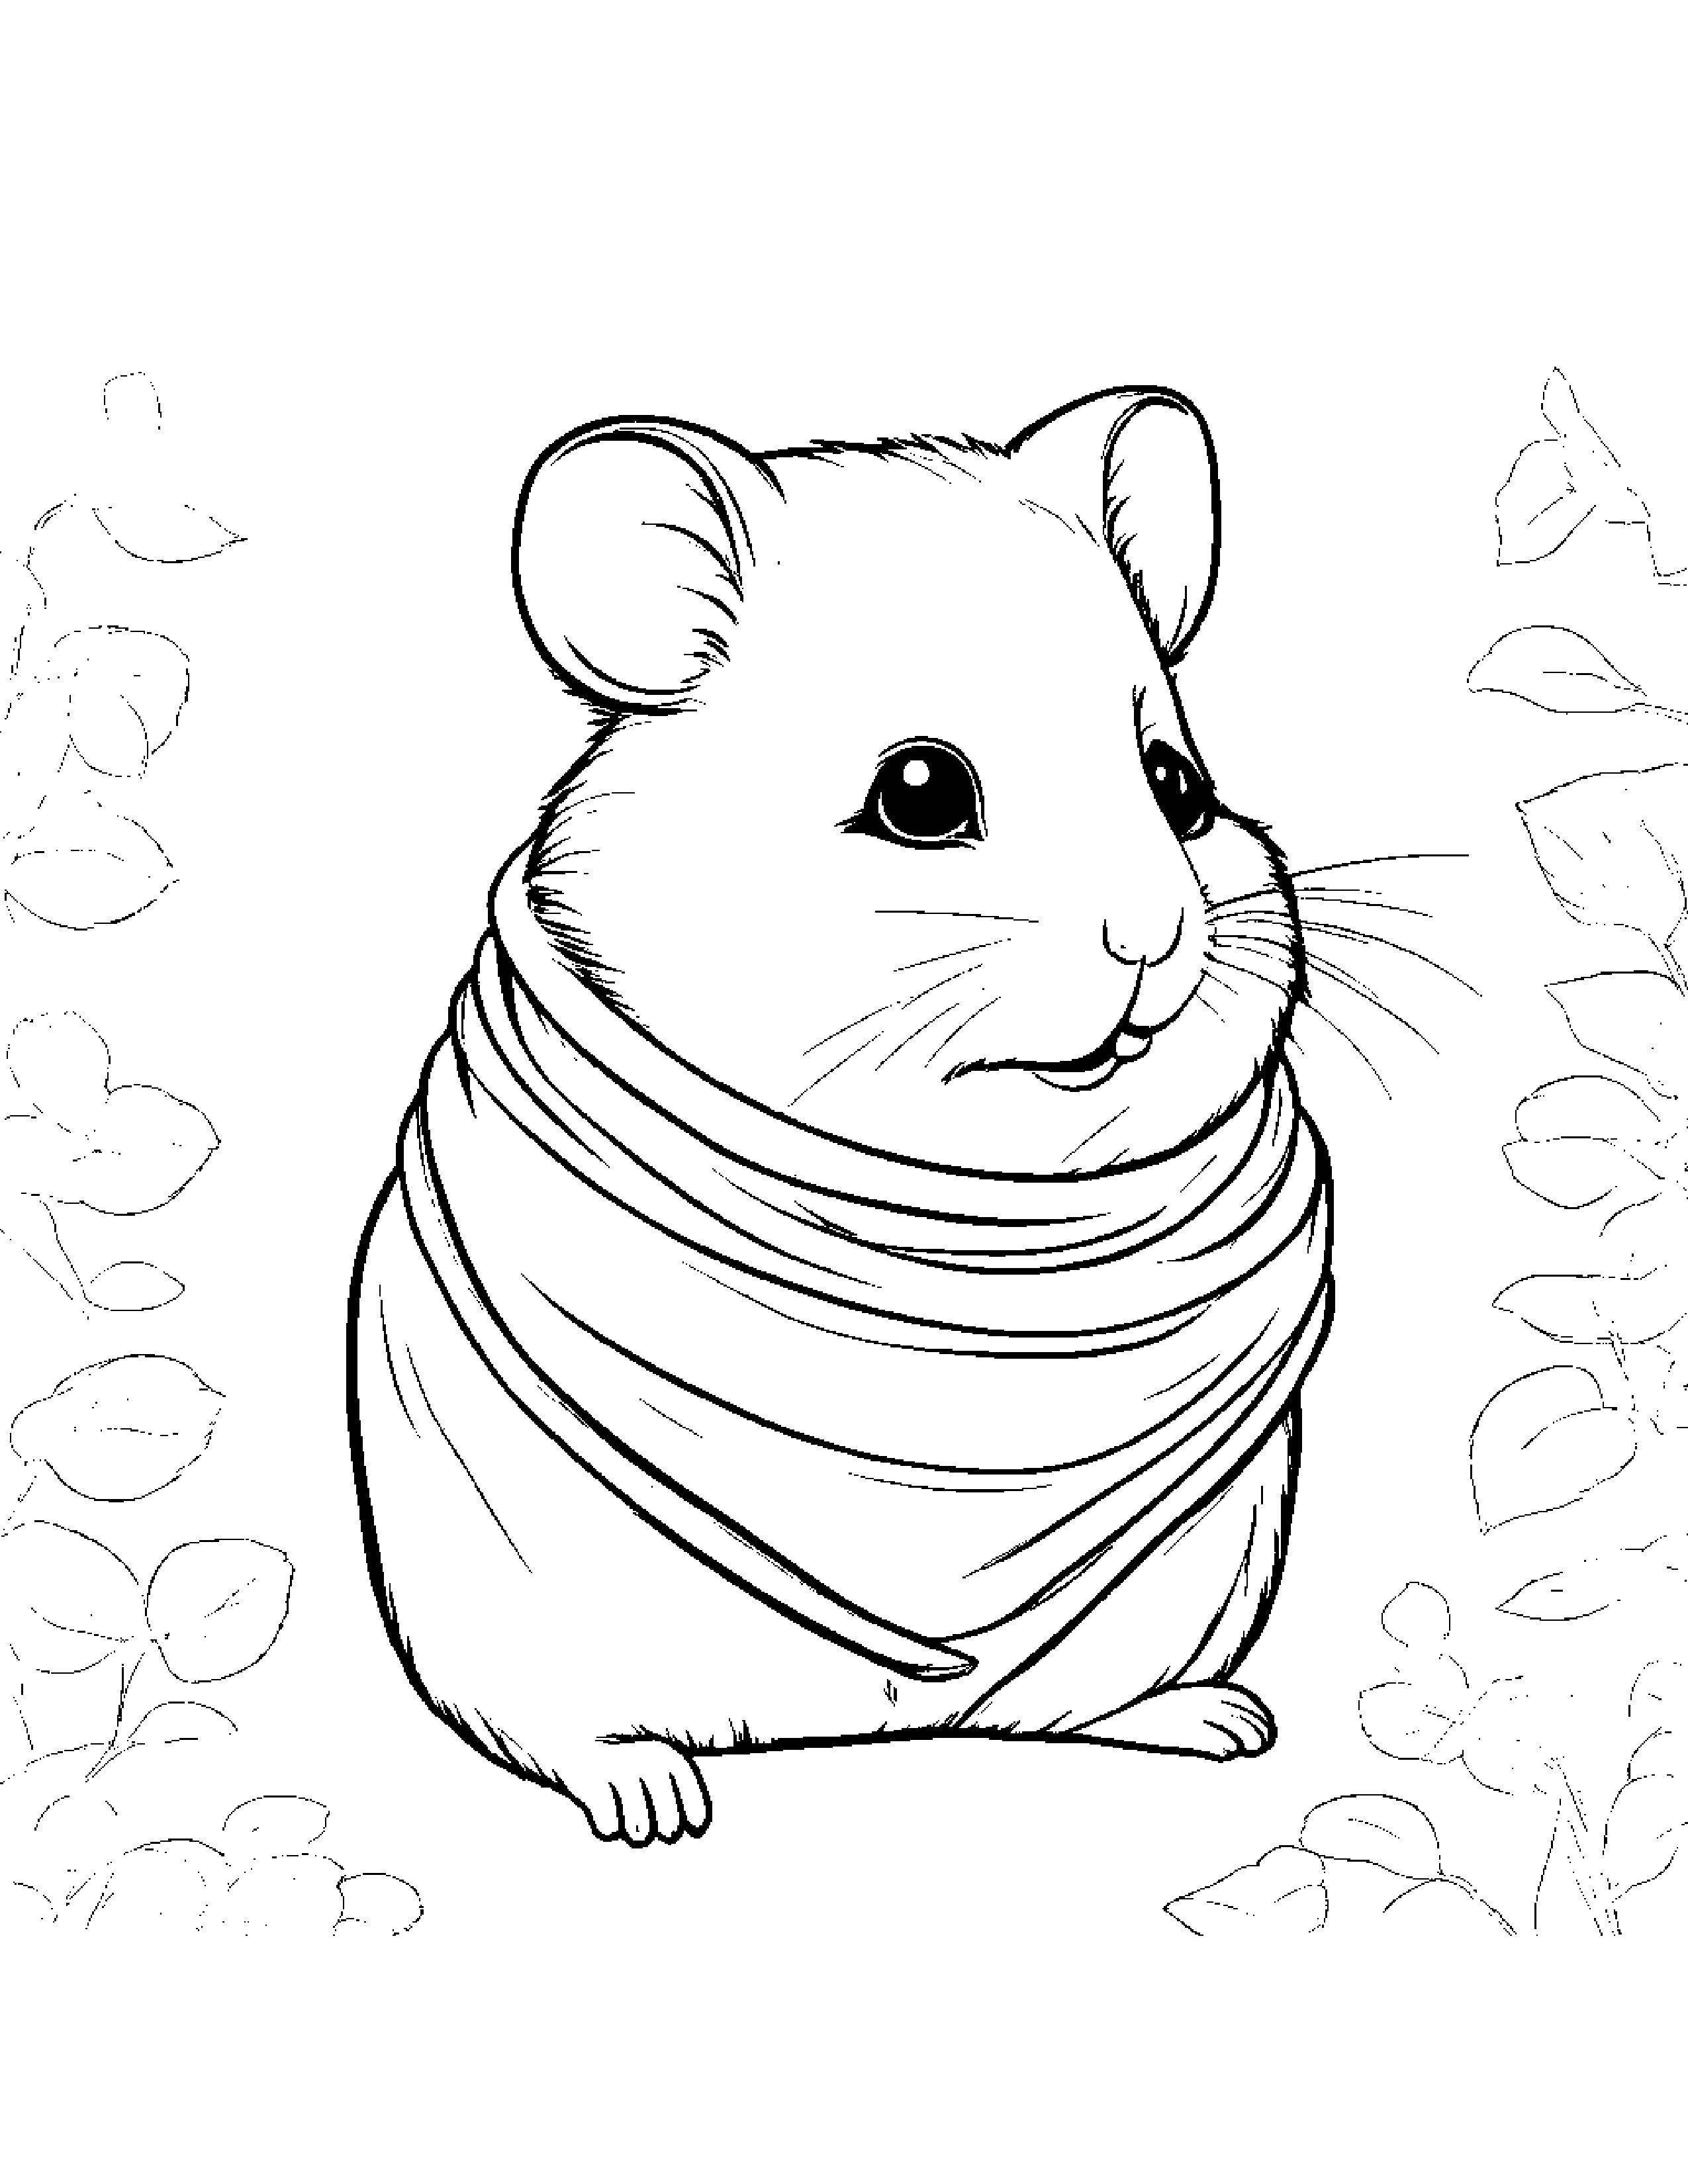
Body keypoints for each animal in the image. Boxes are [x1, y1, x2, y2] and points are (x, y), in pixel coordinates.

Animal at [348, 388, 1325, 1847]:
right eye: (920, 792)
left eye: (1178, 788)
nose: (1153, 941)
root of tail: (861, 1725)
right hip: (498, 1599)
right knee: (552, 1730)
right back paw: (653, 1801)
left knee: (1051, 1707)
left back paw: (1219, 1722)